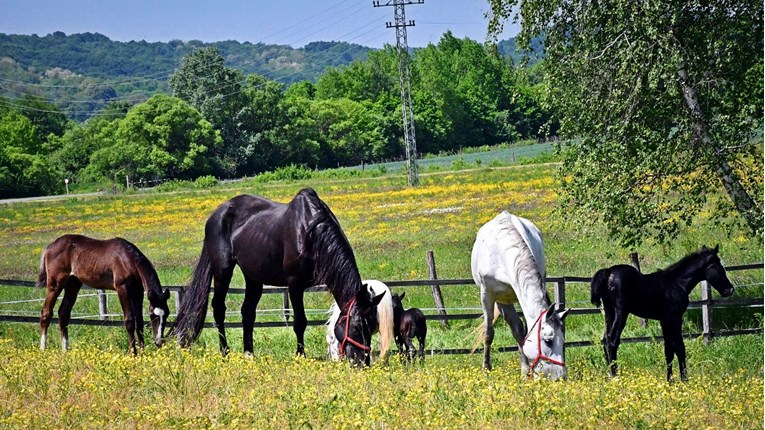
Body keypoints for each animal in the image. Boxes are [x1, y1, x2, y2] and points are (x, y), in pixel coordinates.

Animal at [37, 235, 170, 352]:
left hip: (73, 284)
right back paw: (43, 350)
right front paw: (133, 353)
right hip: (55, 283)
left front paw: (142, 353)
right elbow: (130, 321)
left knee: (63, 313)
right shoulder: (122, 288)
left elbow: (140, 322)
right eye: (153, 315)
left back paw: (65, 350)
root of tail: (50, 246)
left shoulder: (138, 292)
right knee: (46, 312)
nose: (159, 342)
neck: (128, 259)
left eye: (167, 314)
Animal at [175, 188, 384, 366]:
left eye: (373, 327)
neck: (312, 233)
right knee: (219, 309)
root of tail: (217, 213)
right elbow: (300, 322)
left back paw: (249, 354)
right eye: (357, 327)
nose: (362, 363)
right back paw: (225, 353)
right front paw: (300, 356)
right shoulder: (295, 284)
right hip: (222, 270)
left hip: (253, 276)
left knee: (247, 311)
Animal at [472, 212, 568, 380]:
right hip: (502, 300)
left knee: (518, 330)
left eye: (563, 341)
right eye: (548, 341)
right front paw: (486, 369)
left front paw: (527, 371)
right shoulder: (487, 295)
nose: (559, 378)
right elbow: (488, 333)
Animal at [592, 244, 736, 382]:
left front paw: (670, 380)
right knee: (612, 341)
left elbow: (668, 351)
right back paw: (615, 377)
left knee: (605, 340)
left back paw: (610, 375)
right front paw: (684, 379)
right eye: (717, 266)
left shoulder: (664, 321)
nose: (730, 290)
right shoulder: (675, 319)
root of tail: (608, 272)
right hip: (621, 313)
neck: (678, 282)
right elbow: (680, 348)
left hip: (609, 313)